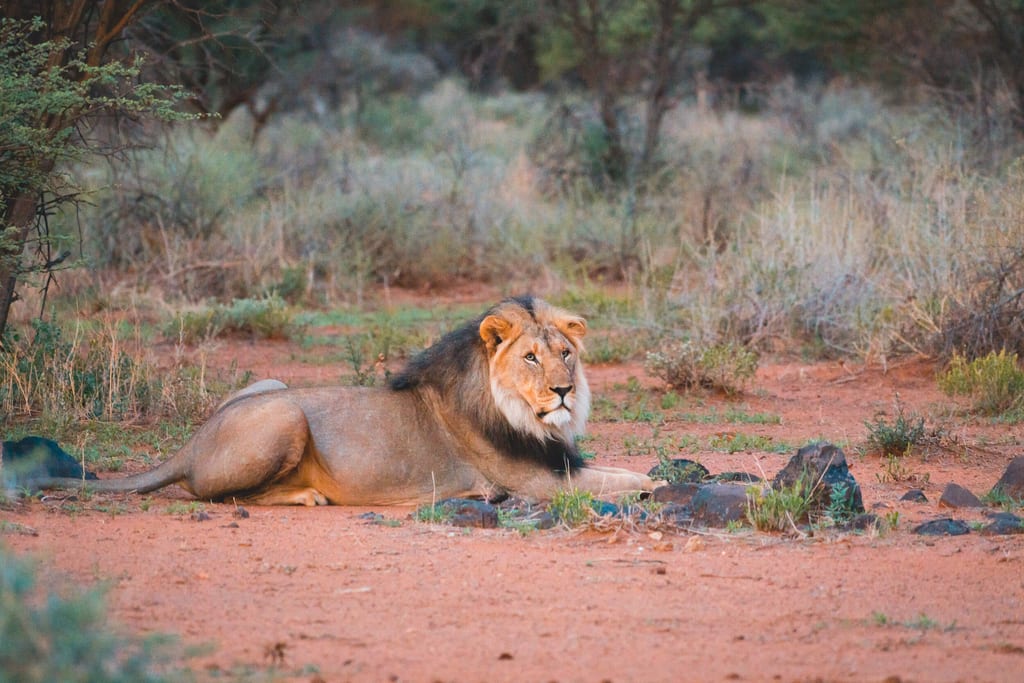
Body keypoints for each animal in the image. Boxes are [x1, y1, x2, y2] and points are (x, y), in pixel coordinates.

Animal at [37, 296, 654, 505]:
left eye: (566, 353)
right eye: (530, 358)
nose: (563, 390)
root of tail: (188, 445)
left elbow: (628, 473)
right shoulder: (535, 482)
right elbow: (626, 485)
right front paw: (655, 487)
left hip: (272, 385)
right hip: (285, 414)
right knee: (212, 494)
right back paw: (306, 495)